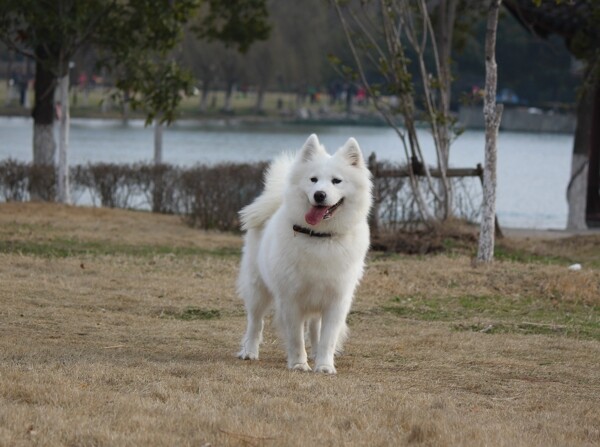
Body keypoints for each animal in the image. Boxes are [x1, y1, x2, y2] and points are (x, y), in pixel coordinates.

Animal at [237, 134, 372, 374]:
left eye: (336, 181)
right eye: (313, 180)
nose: (319, 195)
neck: (319, 236)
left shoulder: (336, 299)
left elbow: (327, 337)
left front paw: (325, 365)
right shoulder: (291, 298)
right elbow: (296, 337)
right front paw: (299, 364)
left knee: (315, 328)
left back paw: (317, 354)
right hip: (257, 288)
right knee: (255, 322)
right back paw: (249, 352)